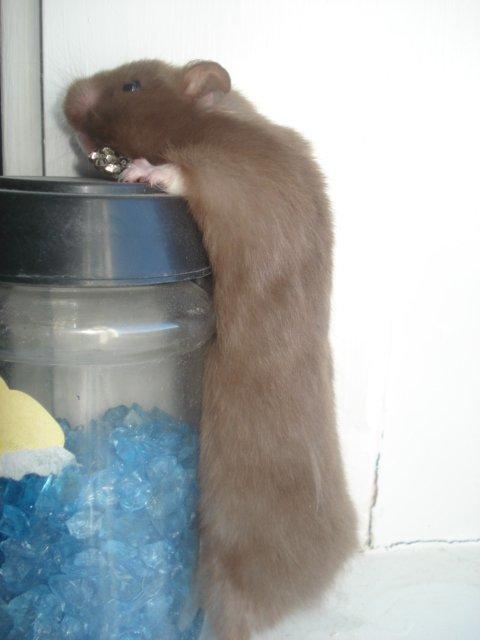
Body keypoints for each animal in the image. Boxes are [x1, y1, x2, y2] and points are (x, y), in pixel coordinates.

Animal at [64, 59, 357, 640]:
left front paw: (141, 170)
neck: (224, 122)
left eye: (131, 85)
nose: (66, 99)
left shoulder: (239, 185)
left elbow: (183, 173)